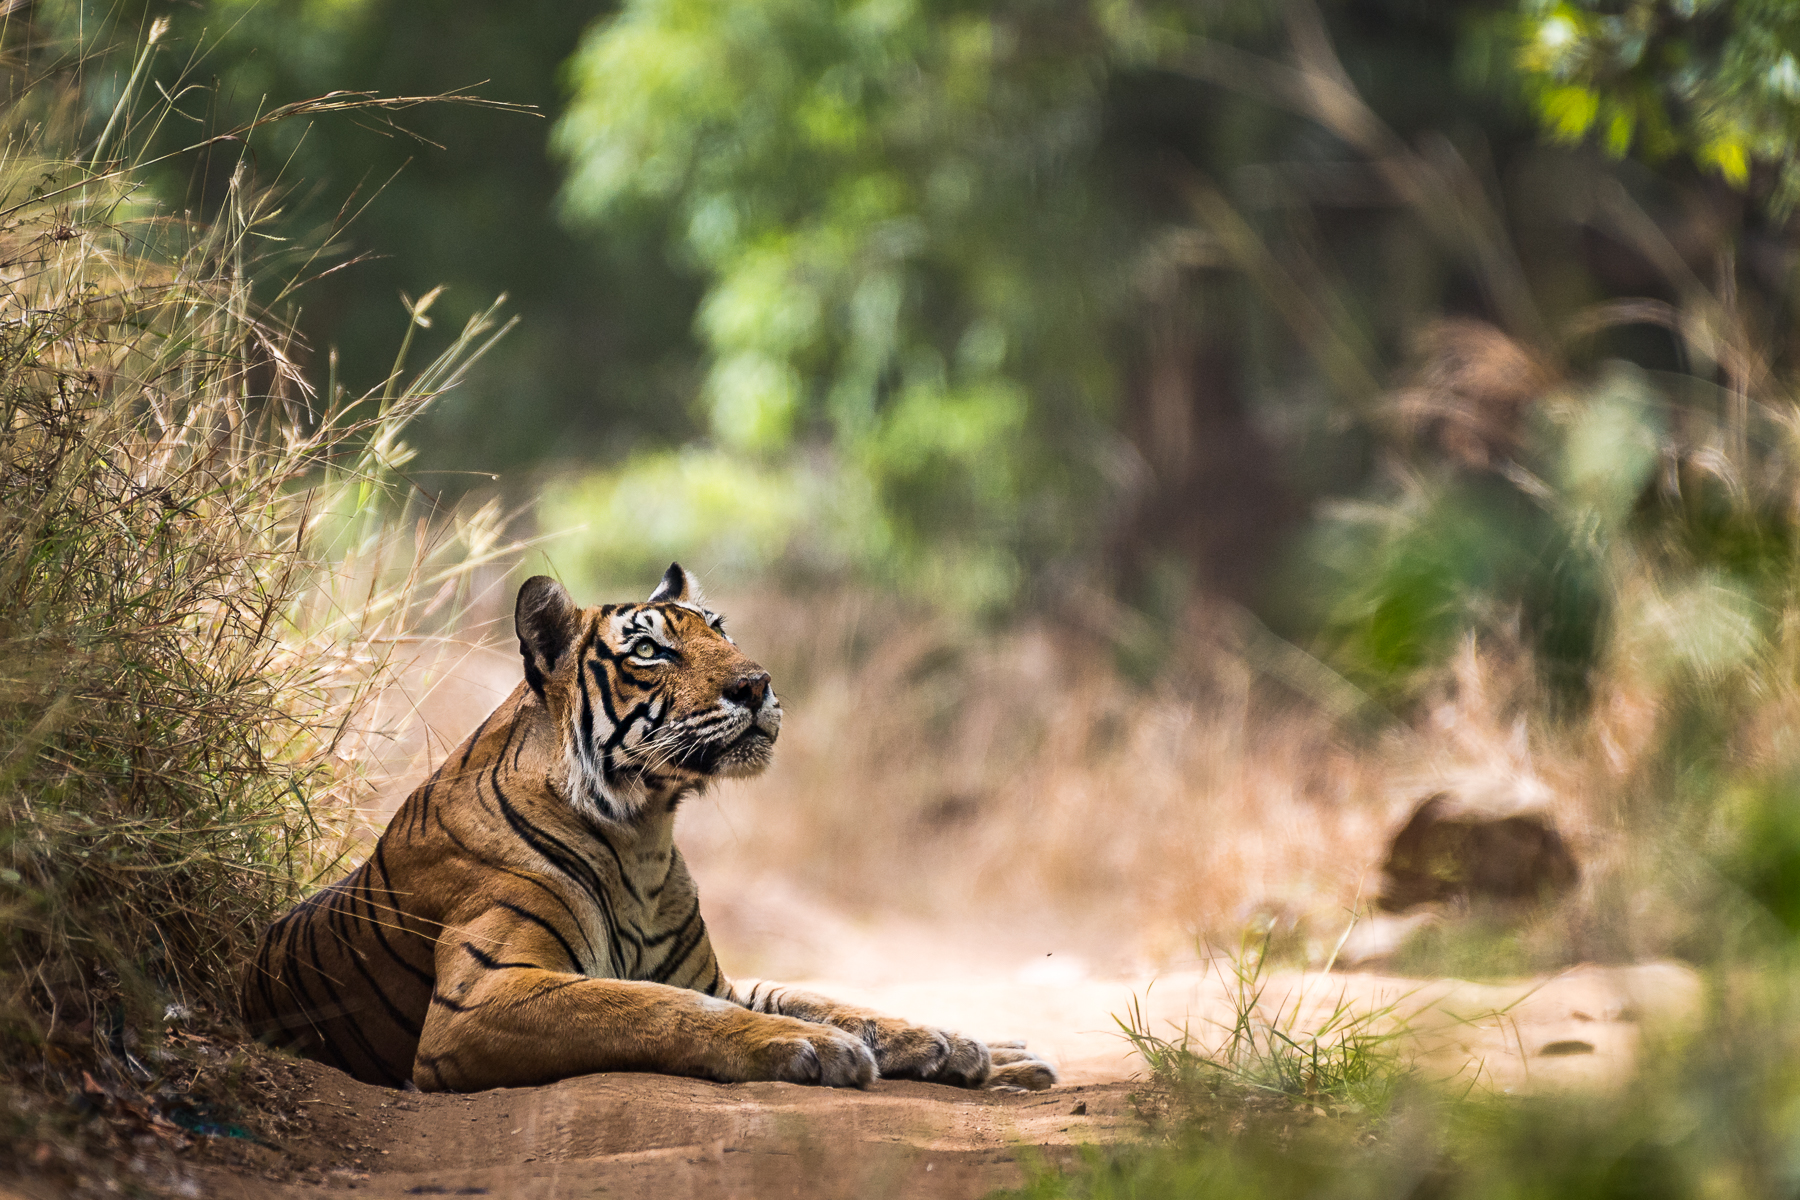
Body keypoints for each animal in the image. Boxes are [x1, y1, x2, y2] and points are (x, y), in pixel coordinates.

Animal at [239, 568, 1051, 1093]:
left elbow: (824, 996)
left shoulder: (714, 975)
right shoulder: (481, 997)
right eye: (650, 650)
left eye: (722, 632)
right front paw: (816, 1048)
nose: (758, 684)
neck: (644, 836)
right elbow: (649, 1007)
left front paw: (964, 1044)